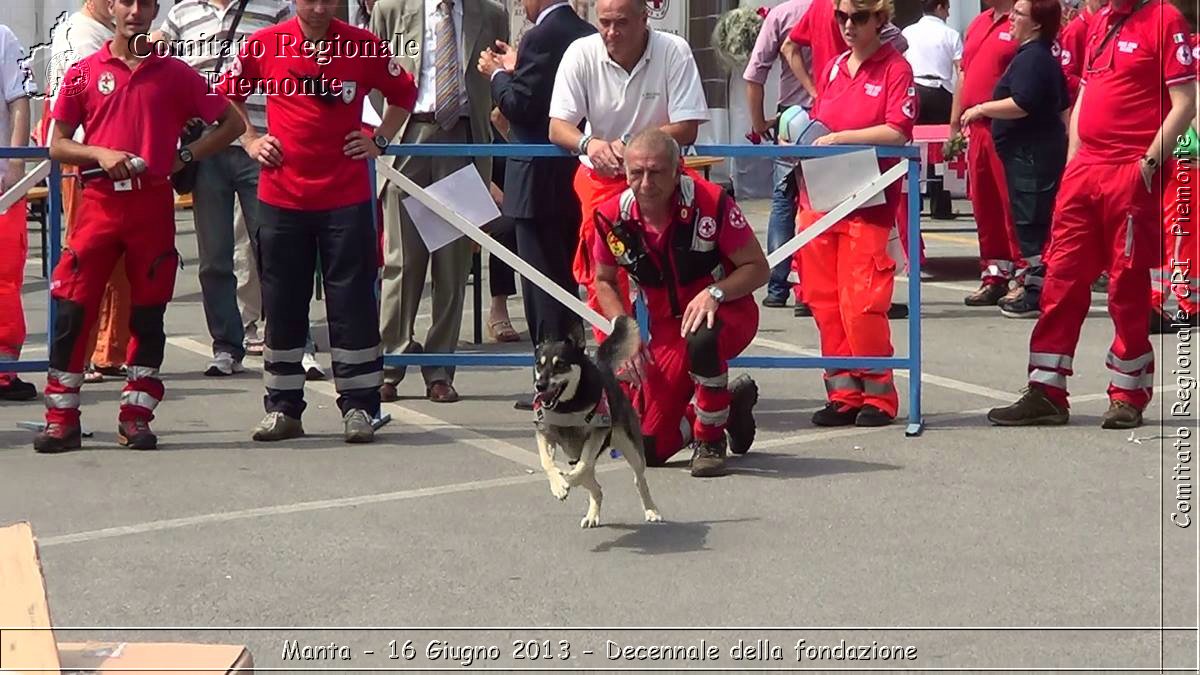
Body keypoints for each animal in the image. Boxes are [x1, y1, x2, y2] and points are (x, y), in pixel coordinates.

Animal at [532, 314, 662, 526]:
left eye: (560, 364)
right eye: (538, 364)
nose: (540, 386)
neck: (568, 405)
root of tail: (603, 367)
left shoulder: (597, 434)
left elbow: (581, 467)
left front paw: (566, 481)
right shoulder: (545, 433)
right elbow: (546, 462)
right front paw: (558, 485)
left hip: (630, 448)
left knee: (639, 479)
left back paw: (651, 510)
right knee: (596, 487)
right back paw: (592, 515)